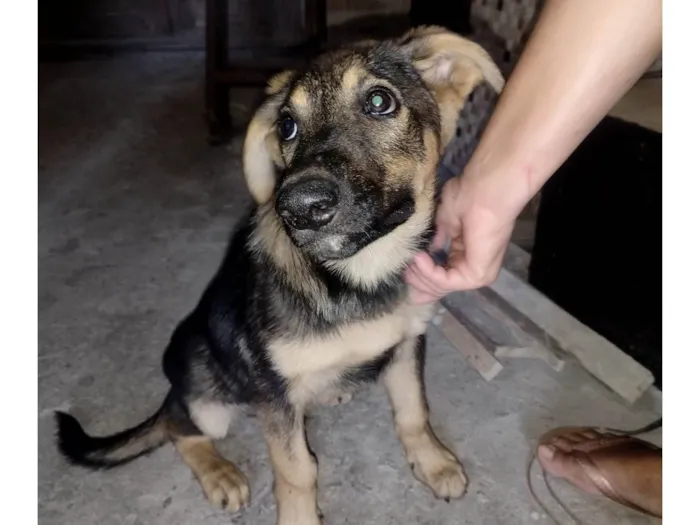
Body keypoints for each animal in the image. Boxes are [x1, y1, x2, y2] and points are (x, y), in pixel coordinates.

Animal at [54, 26, 504, 520]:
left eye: (379, 101)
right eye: (287, 125)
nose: (300, 208)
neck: (354, 275)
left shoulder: (407, 345)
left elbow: (413, 411)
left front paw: (433, 462)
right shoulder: (272, 392)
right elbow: (297, 471)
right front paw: (299, 517)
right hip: (203, 387)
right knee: (178, 426)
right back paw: (219, 473)